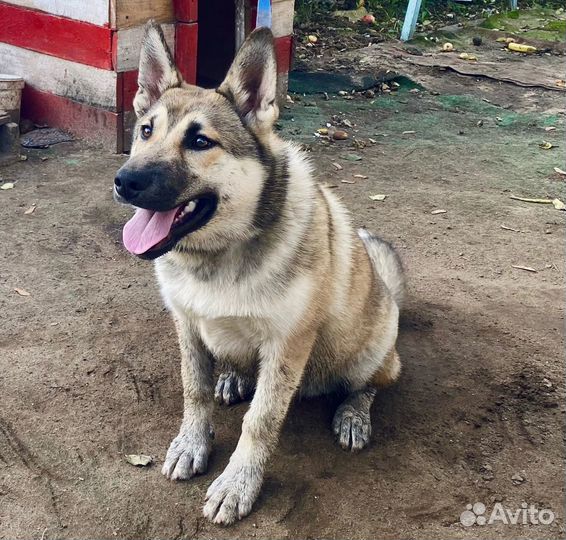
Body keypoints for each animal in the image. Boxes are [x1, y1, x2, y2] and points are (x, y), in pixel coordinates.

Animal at [115, 21, 406, 524]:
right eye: (146, 131)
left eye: (199, 141)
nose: (125, 181)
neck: (219, 255)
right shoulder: (187, 325)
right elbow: (194, 391)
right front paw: (192, 443)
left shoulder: (287, 344)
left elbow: (261, 420)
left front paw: (238, 483)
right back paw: (233, 377)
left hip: (371, 353)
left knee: (369, 384)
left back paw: (353, 413)